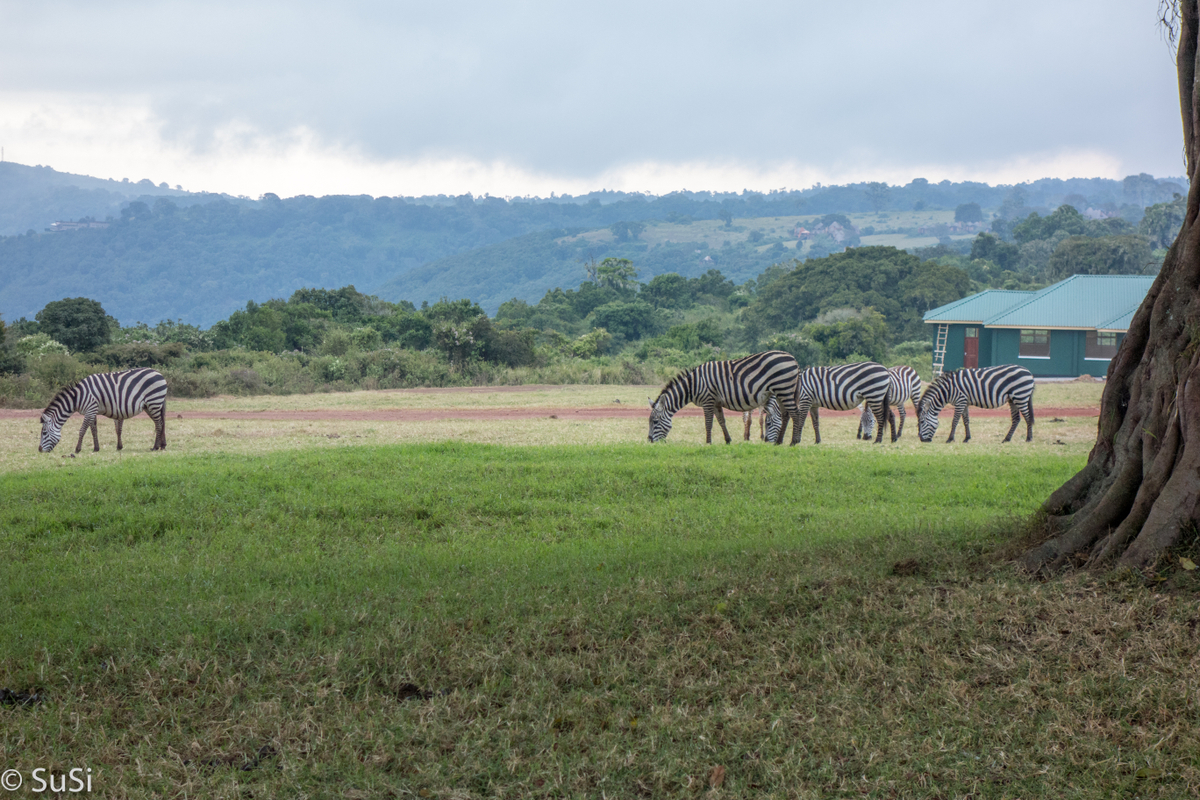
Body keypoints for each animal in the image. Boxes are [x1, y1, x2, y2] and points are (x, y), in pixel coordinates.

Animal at [38, 367, 169, 453]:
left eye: (44, 433)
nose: (39, 450)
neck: (78, 397)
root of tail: (159, 373)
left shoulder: (90, 409)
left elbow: (82, 430)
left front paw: (77, 449)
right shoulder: (92, 410)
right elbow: (93, 430)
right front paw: (96, 448)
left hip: (154, 402)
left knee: (158, 424)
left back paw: (155, 447)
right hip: (150, 406)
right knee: (161, 423)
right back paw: (162, 445)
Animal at [648, 352, 806, 443]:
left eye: (655, 422)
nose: (649, 441)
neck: (694, 385)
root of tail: (793, 359)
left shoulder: (708, 400)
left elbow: (708, 423)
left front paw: (708, 442)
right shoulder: (716, 402)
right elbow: (721, 421)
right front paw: (728, 440)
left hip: (784, 389)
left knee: (795, 413)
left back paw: (794, 442)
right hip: (781, 392)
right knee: (786, 415)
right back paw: (779, 442)